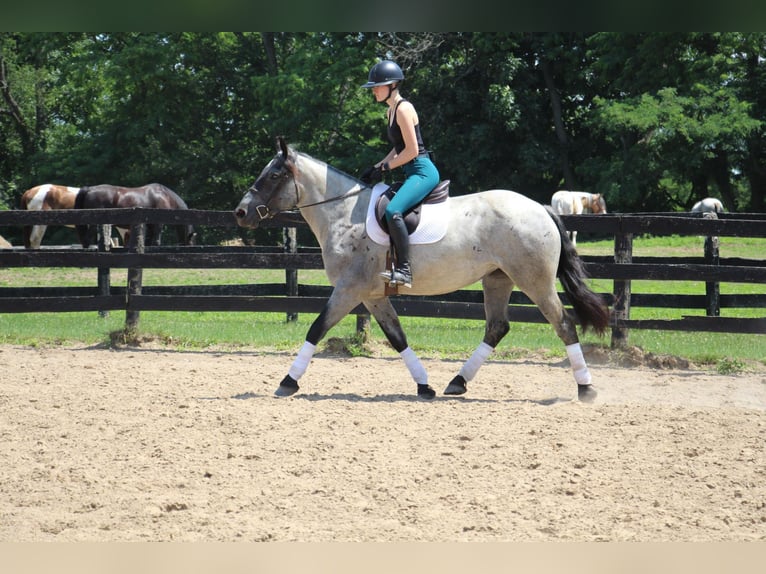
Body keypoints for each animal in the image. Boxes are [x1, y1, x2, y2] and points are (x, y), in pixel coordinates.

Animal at [234, 137, 612, 402]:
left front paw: (287, 382)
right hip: (498, 279)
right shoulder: (371, 295)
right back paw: (456, 382)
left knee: (563, 324)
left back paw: (586, 390)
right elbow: (396, 336)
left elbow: (316, 328)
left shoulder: (349, 289)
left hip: (534, 281)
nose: (240, 212)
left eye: (274, 174)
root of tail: (541, 208)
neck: (342, 214)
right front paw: (424, 386)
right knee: (497, 328)